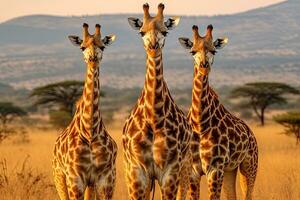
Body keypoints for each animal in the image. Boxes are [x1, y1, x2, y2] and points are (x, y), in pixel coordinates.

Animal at [51, 23, 117, 200]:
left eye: (102, 46)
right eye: (82, 46)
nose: (93, 57)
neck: (90, 131)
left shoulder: (106, 178)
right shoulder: (75, 178)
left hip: (91, 184)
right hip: (59, 177)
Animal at [123, 3, 193, 200]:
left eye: (165, 31)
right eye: (141, 31)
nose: (153, 47)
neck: (154, 117)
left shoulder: (170, 171)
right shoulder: (138, 172)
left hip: (185, 168)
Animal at [178, 24, 258, 198]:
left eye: (214, 51)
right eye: (192, 51)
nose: (204, 66)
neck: (200, 124)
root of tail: (250, 133)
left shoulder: (215, 168)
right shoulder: (194, 170)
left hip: (249, 166)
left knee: (248, 194)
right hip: (230, 170)